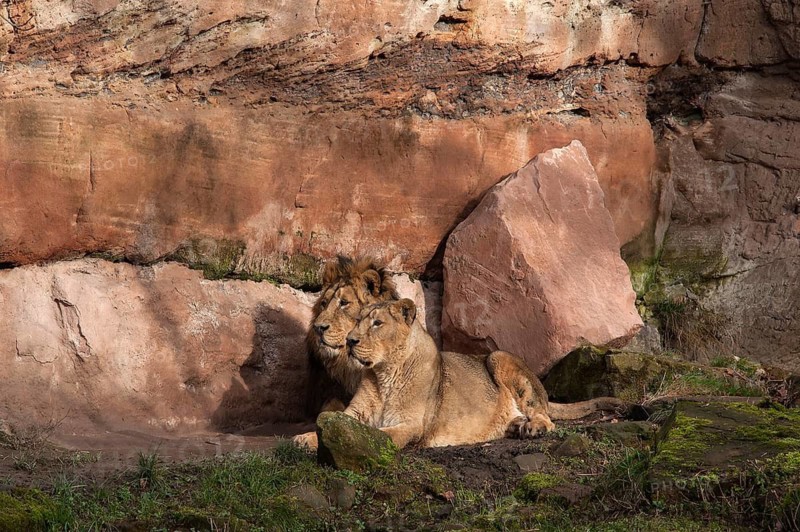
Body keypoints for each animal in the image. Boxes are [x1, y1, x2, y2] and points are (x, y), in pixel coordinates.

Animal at [341, 299, 625, 449]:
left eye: (377, 323)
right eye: (357, 321)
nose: (349, 340)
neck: (384, 373)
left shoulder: (413, 426)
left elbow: (383, 434)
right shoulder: (354, 413)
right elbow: (336, 421)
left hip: (498, 357)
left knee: (545, 416)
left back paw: (531, 427)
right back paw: (515, 425)